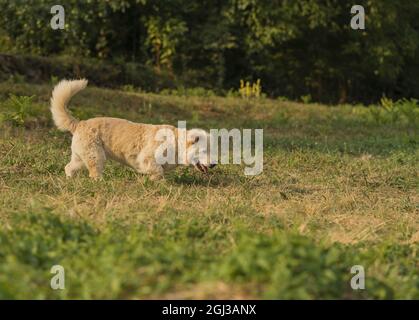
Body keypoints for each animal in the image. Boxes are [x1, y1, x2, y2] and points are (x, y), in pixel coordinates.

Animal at [50, 79, 215, 180]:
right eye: (204, 151)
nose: (214, 165)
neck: (176, 143)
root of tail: (79, 123)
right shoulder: (147, 159)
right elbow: (158, 171)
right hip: (96, 156)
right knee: (94, 173)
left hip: (81, 158)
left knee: (68, 167)